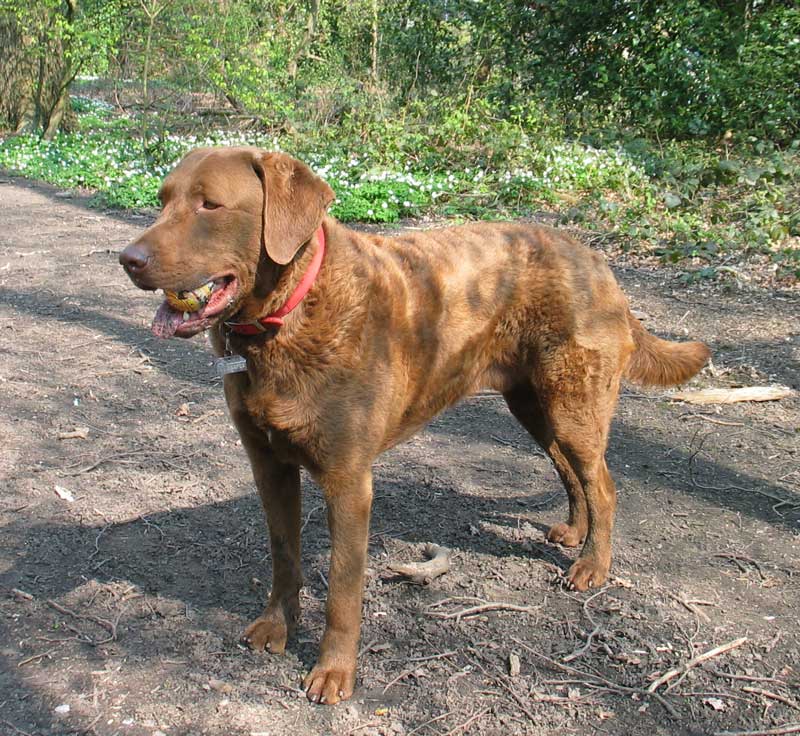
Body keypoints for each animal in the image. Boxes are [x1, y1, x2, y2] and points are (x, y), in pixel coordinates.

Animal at [120, 147, 712, 704]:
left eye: (209, 205)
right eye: (163, 198)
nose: (128, 259)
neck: (286, 318)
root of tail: (598, 261)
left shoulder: (348, 481)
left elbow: (343, 589)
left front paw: (333, 672)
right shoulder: (269, 465)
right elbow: (284, 554)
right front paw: (275, 626)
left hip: (572, 404)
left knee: (603, 483)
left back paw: (593, 566)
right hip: (534, 405)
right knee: (572, 472)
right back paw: (573, 531)